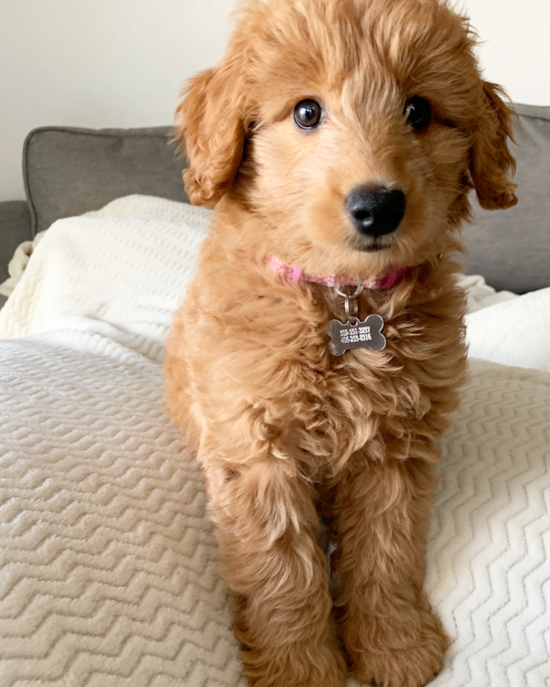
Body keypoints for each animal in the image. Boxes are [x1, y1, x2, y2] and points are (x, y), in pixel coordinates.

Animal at [166, 1, 520, 687]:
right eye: (306, 112)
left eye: (419, 111)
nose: (377, 207)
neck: (345, 300)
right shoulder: (256, 452)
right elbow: (282, 570)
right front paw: (300, 667)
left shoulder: (396, 451)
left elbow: (387, 550)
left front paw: (395, 647)